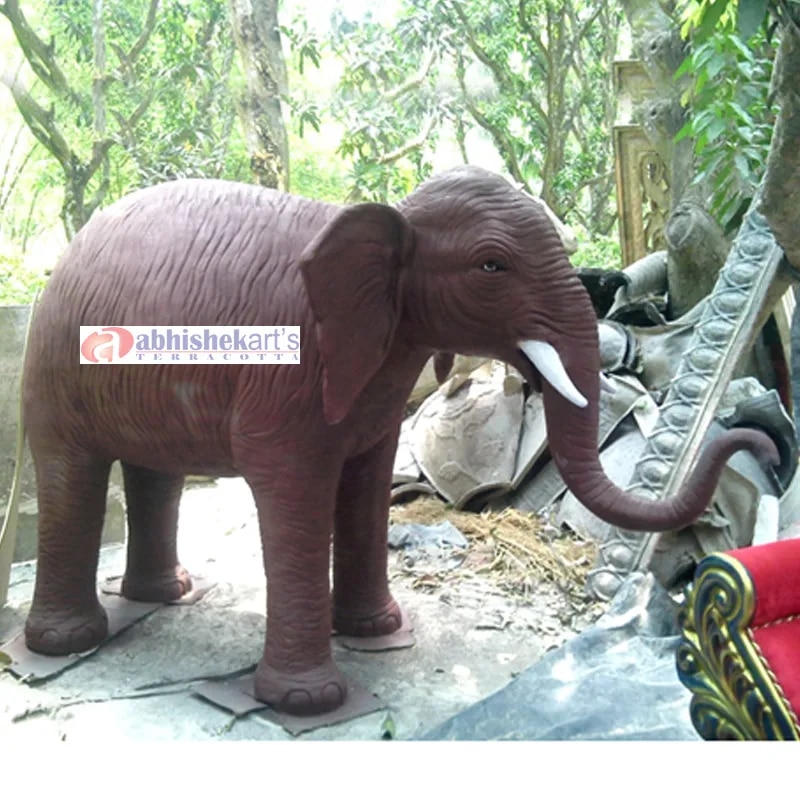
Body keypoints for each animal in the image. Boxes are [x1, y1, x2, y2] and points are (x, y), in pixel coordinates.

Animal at [21, 165, 778, 716]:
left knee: (156, 471)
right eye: (491, 267)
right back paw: (67, 642)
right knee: (71, 469)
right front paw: (310, 701)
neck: (392, 215)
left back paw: (165, 595)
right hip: (56, 360)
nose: (768, 447)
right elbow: (292, 486)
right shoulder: (288, 372)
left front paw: (378, 633)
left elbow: (368, 476)